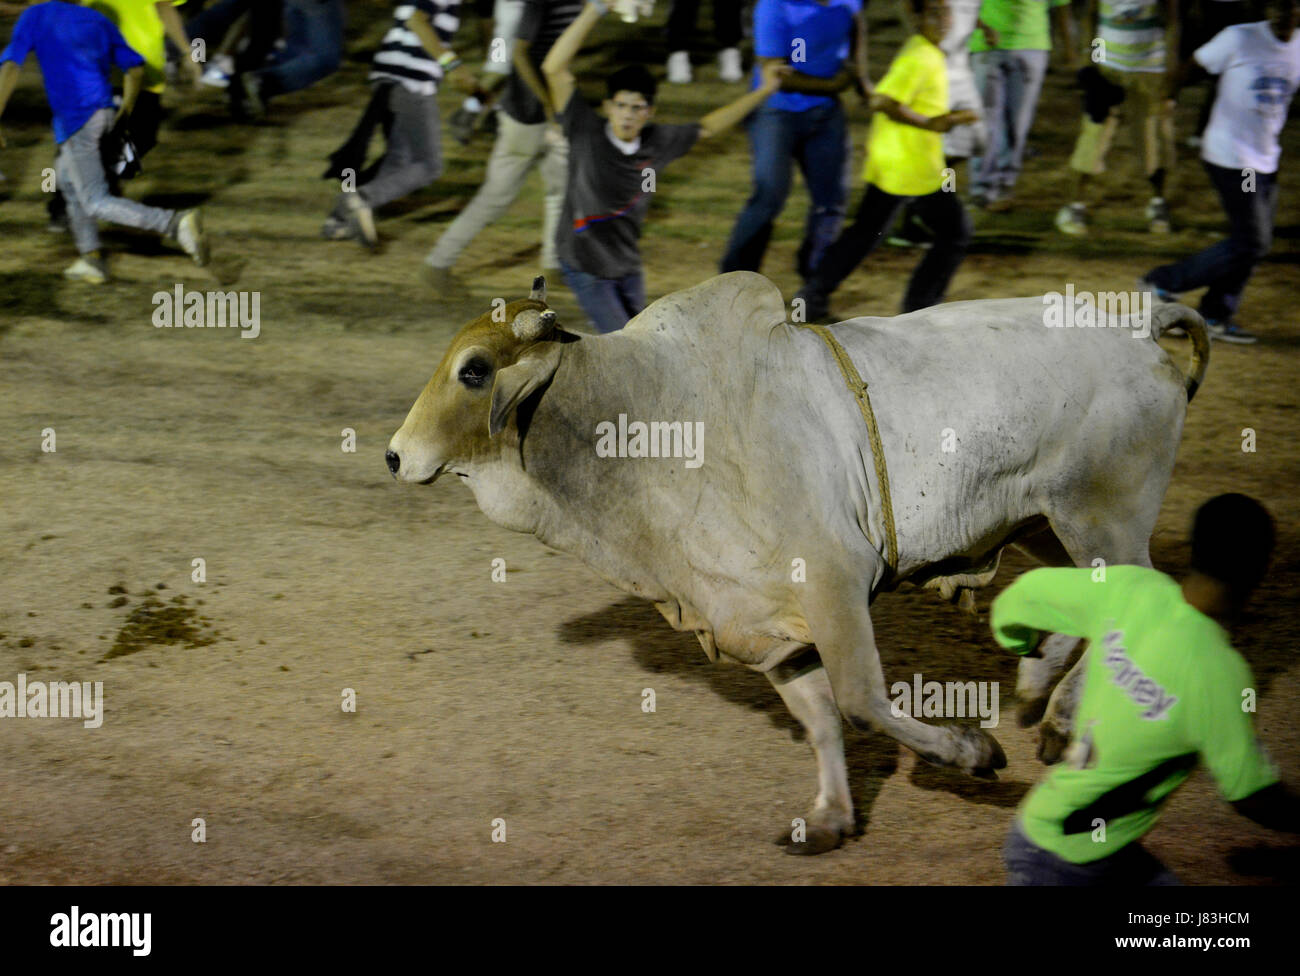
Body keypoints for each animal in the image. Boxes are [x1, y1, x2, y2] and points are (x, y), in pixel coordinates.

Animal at [384, 271, 1206, 852]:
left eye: (474, 370)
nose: (394, 454)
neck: (652, 423)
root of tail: (1138, 328)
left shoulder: (836, 582)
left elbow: (862, 701)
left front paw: (972, 751)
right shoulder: (763, 625)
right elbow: (821, 721)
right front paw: (832, 816)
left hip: (1099, 516)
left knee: (1137, 605)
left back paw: (1066, 720)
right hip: (1046, 521)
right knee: (1093, 606)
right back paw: (1044, 692)